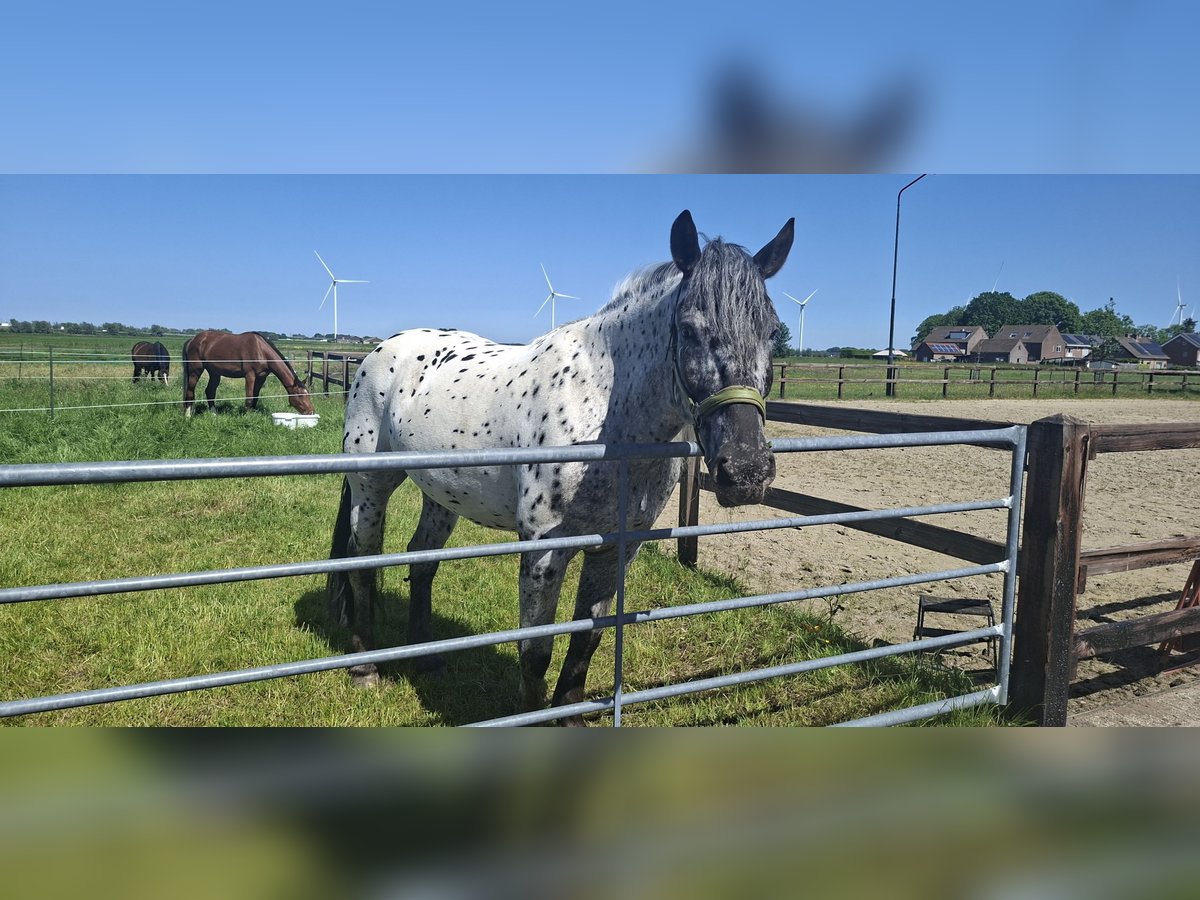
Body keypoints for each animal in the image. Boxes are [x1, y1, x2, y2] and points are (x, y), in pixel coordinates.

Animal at [181, 330, 314, 416]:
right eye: (300, 395)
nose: (311, 411)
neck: (261, 350)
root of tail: (192, 340)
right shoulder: (250, 376)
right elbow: (249, 398)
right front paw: (247, 417)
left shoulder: (261, 378)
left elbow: (255, 397)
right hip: (195, 370)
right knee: (190, 391)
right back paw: (188, 416)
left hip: (214, 373)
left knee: (210, 391)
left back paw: (214, 414)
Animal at [327, 209, 793, 722]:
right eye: (689, 328)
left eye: (772, 331)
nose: (747, 472)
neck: (606, 422)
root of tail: (381, 351)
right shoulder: (544, 553)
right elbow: (536, 652)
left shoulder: (614, 551)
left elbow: (586, 640)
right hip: (371, 486)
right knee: (362, 560)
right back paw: (365, 667)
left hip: (442, 497)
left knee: (421, 560)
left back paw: (428, 662)